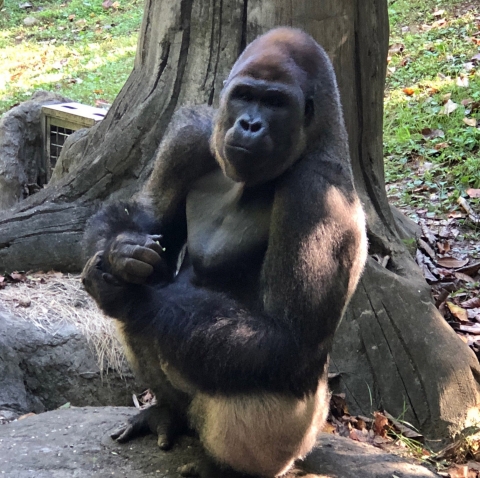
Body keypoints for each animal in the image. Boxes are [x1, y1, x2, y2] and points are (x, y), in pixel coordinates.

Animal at [82, 27, 368, 478]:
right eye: (244, 95)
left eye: (275, 102)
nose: (249, 124)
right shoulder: (192, 136)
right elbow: (148, 216)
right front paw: (120, 251)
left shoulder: (319, 197)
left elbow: (286, 339)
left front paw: (130, 296)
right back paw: (167, 414)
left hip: (304, 429)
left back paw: (229, 468)